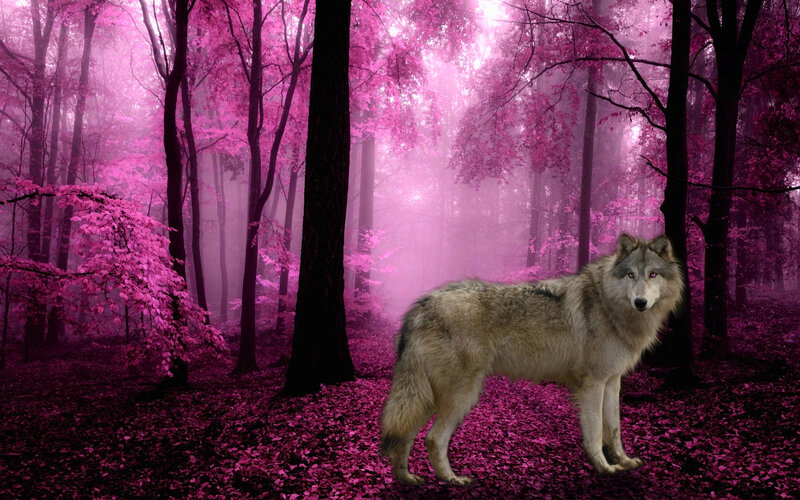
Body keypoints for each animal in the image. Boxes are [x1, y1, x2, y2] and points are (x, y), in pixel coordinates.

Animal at [380, 234, 683, 484]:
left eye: (652, 274)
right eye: (631, 275)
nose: (640, 303)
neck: (610, 306)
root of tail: (421, 306)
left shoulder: (612, 382)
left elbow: (615, 429)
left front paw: (623, 461)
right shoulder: (592, 384)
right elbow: (596, 433)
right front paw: (605, 468)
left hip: (428, 396)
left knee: (405, 433)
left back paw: (407, 478)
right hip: (462, 395)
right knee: (433, 438)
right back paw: (452, 480)